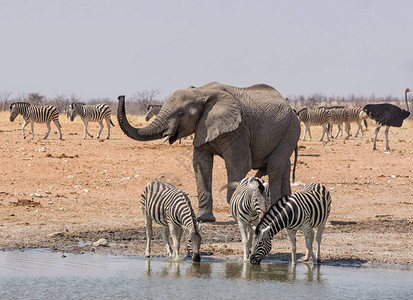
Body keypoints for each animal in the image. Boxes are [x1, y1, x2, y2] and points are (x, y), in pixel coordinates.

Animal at [116, 82, 300, 223]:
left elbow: (238, 164)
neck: (200, 91)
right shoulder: (202, 128)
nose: (120, 96)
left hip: (291, 129)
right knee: (284, 166)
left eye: (181, 113)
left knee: (274, 167)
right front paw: (203, 218)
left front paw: (237, 213)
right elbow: (201, 164)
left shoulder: (238, 129)